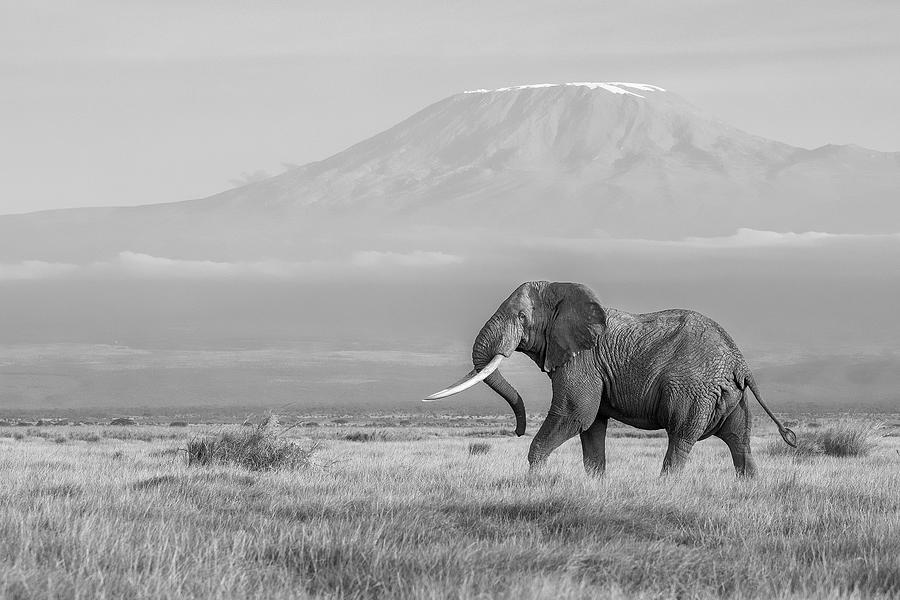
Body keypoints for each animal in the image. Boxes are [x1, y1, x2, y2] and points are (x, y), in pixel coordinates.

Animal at [426, 278, 800, 476]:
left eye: (521, 316)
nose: (517, 431)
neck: (563, 292)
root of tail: (740, 362)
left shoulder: (582, 360)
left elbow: (575, 414)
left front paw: (534, 480)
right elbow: (592, 427)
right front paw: (594, 484)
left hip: (695, 389)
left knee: (680, 438)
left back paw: (667, 488)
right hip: (731, 395)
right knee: (740, 442)